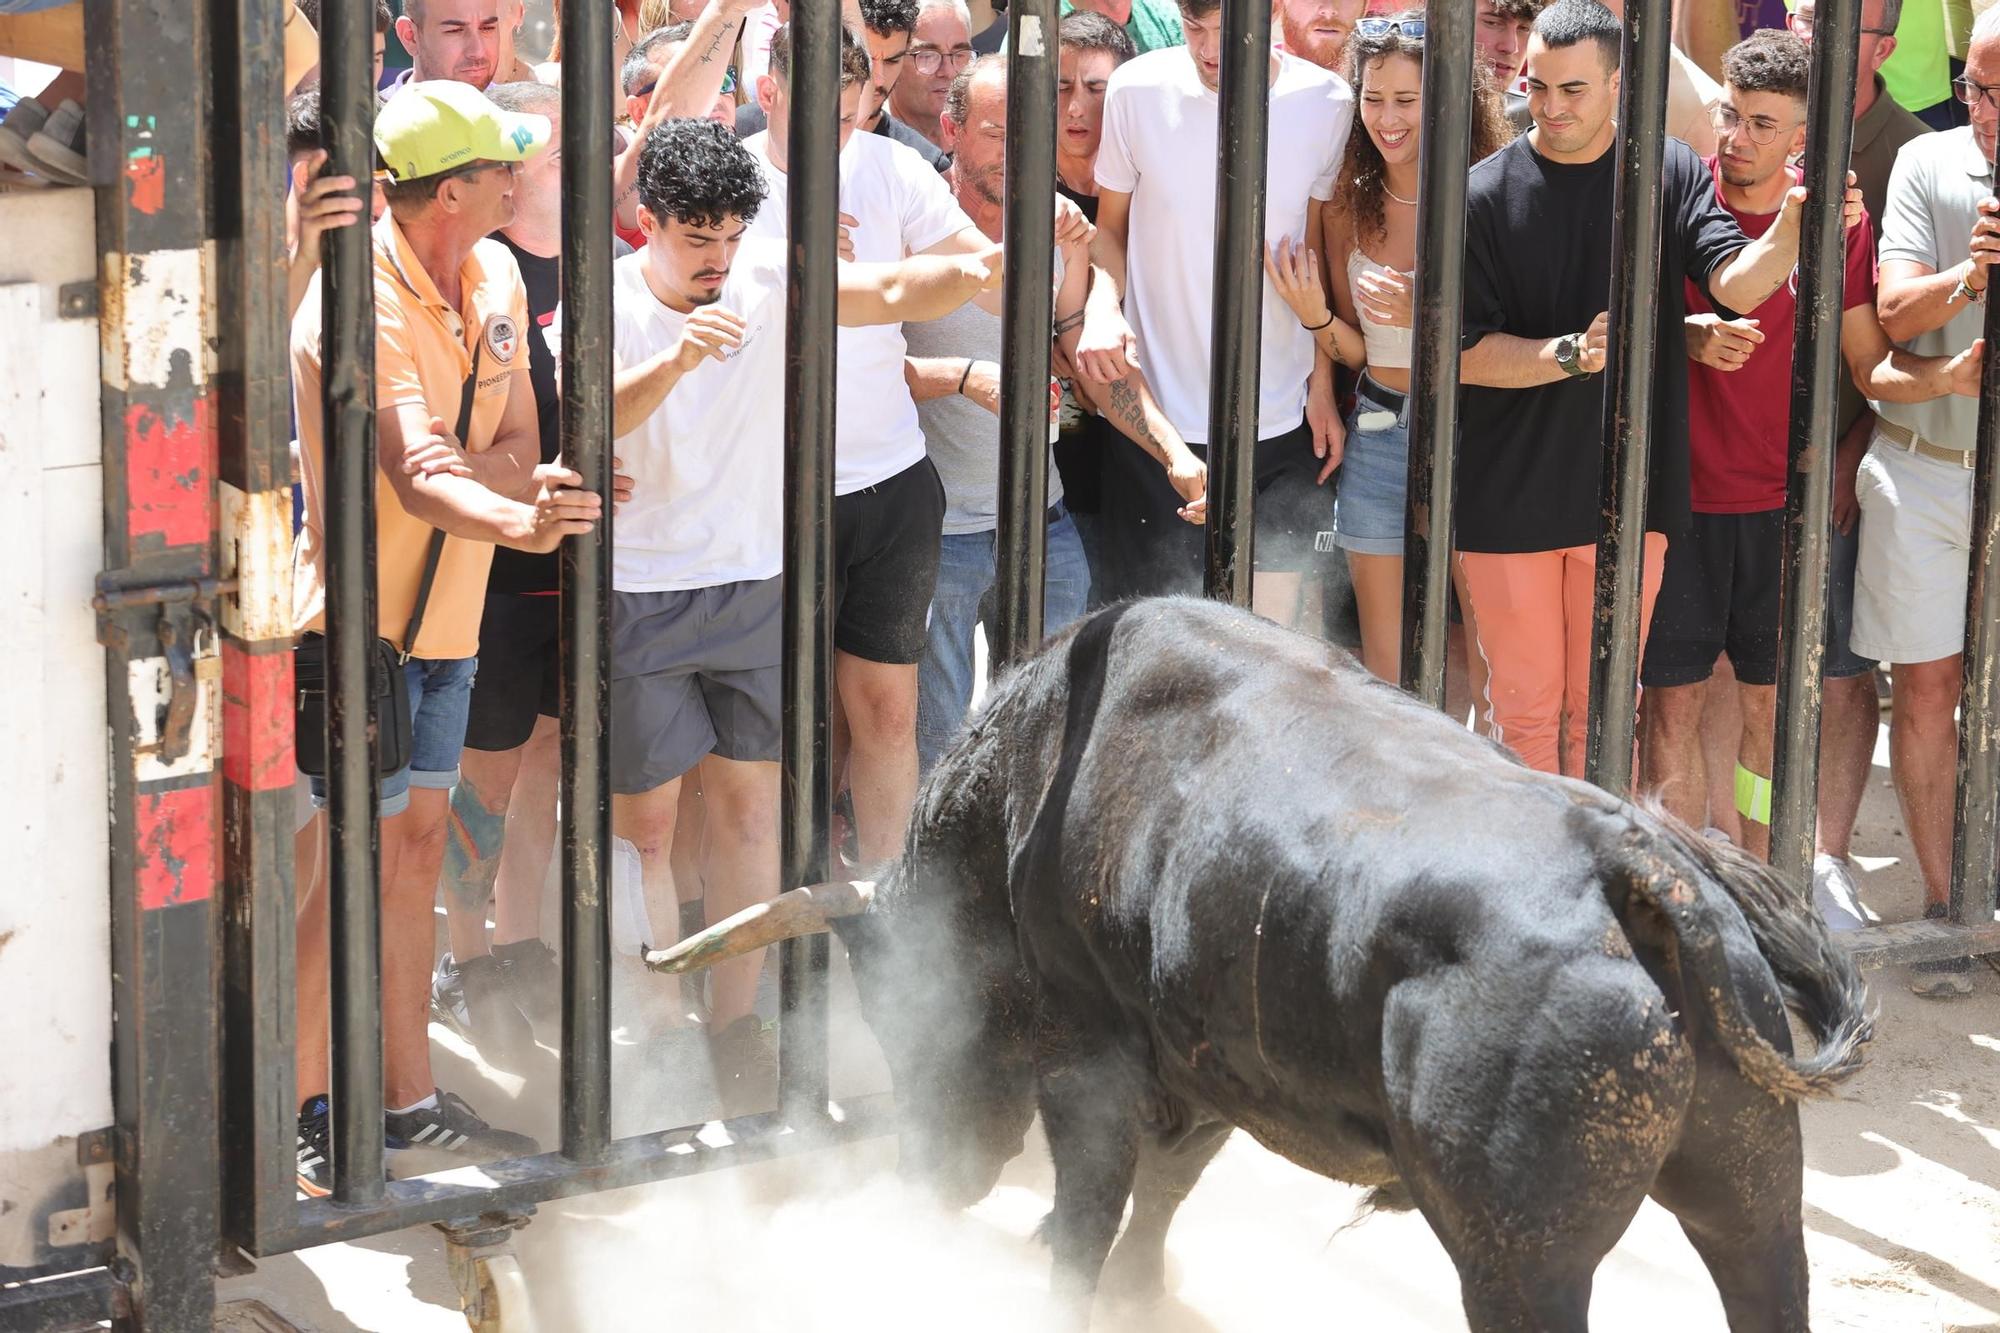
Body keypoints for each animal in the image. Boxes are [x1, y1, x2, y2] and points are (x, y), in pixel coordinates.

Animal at [656, 596, 1872, 1320]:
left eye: (903, 1012)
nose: (933, 1177)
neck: (1023, 788)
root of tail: (1633, 860)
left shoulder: (1093, 1060)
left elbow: (1098, 1203)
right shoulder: (1207, 1064)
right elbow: (1167, 1187)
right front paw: (1138, 1292)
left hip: (1521, 1258)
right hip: (1755, 1194)